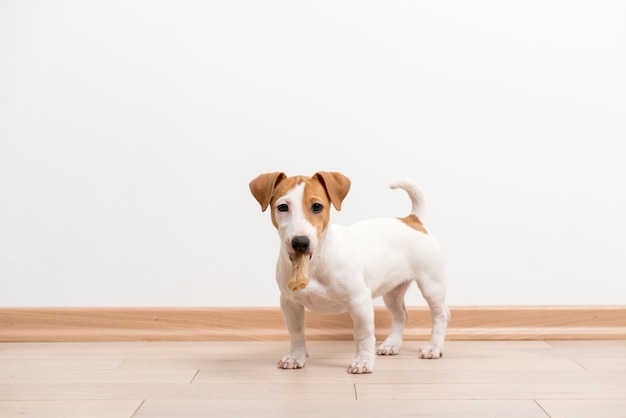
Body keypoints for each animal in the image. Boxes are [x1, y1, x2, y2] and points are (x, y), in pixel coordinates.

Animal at [246, 171, 446, 374]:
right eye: (282, 207)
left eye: (317, 206)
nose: (300, 242)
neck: (315, 262)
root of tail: (412, 220)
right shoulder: (290, 303)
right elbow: (296, 332)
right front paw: (296, 356)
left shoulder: (359, 301)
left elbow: (363, 334)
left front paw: (363, 361)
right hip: (393, 290)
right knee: (400, 314)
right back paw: (392, 344)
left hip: (431, 285)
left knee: (440, 315)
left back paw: (433, 347)